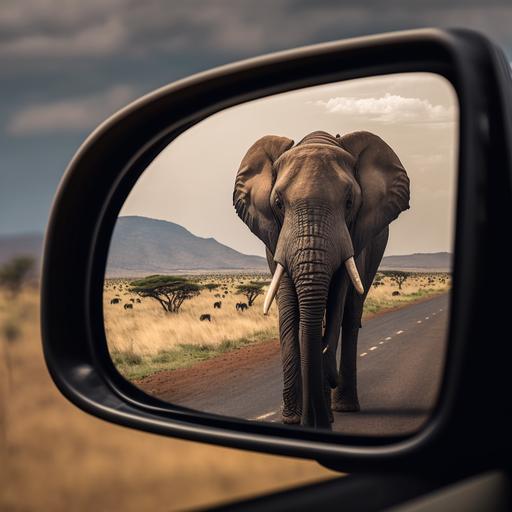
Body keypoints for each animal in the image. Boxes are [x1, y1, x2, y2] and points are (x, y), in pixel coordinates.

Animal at [234, 131, 410, 428]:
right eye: (278, 204)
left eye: (349, 203)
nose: (312, 420)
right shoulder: (276, 239)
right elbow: (289, 309)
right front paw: (293, 419)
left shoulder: (354, 239)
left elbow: (337, 300)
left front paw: (321, 414)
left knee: (350, 315)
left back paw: (344, 406)